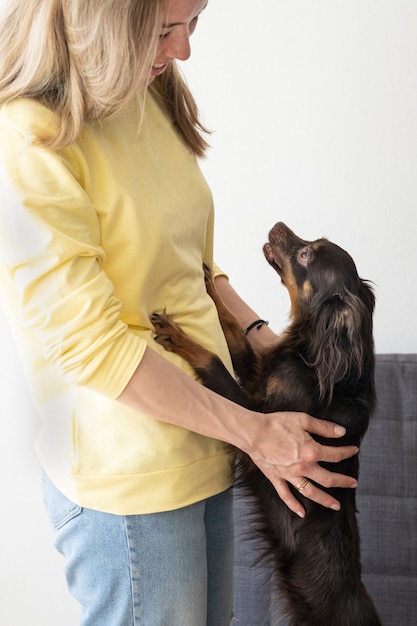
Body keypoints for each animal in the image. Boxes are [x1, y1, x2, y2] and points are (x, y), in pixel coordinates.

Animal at [152, 222, 380, 620]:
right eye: (310, 243)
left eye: (306, 254)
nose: (277, 226)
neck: (319, 359)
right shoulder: (256, 377)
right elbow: (230, 325)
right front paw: (209, 283)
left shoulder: (258, 420)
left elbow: (213, 359)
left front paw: (175, 333)